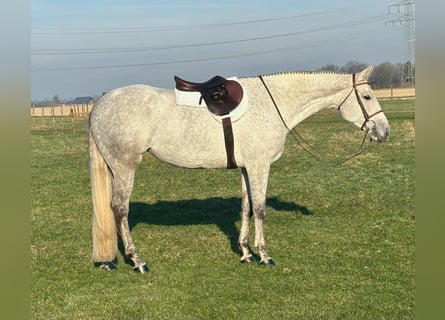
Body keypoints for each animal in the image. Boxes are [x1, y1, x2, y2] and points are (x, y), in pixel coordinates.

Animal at [87, 65, 388, 272]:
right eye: (367, 96)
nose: (385, 132)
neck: (273, 102)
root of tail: (100, 104)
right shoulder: (259, 166)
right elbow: (261, 208)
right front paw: (264, 255)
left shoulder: (246, 167)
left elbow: (247, 207)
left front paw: (246, 253)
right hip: (125, 166)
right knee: (120, 210)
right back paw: (138, 261)